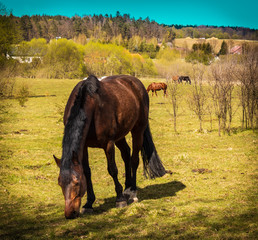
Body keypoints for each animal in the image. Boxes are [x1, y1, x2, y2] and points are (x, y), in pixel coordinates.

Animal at [53, 75, 166, 219]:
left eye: (77, 182)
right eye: (60, 183)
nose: (70, 213)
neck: (92, 105)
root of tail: (135, 82)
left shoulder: (108, 144)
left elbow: (112, 169)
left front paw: (120, 199)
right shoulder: (83, 147)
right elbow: (87, 171)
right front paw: (89, 203)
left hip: (138, 131)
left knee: (134, 160)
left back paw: (132, 193)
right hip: (120, 136)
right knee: (126, 154)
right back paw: (127, 188)